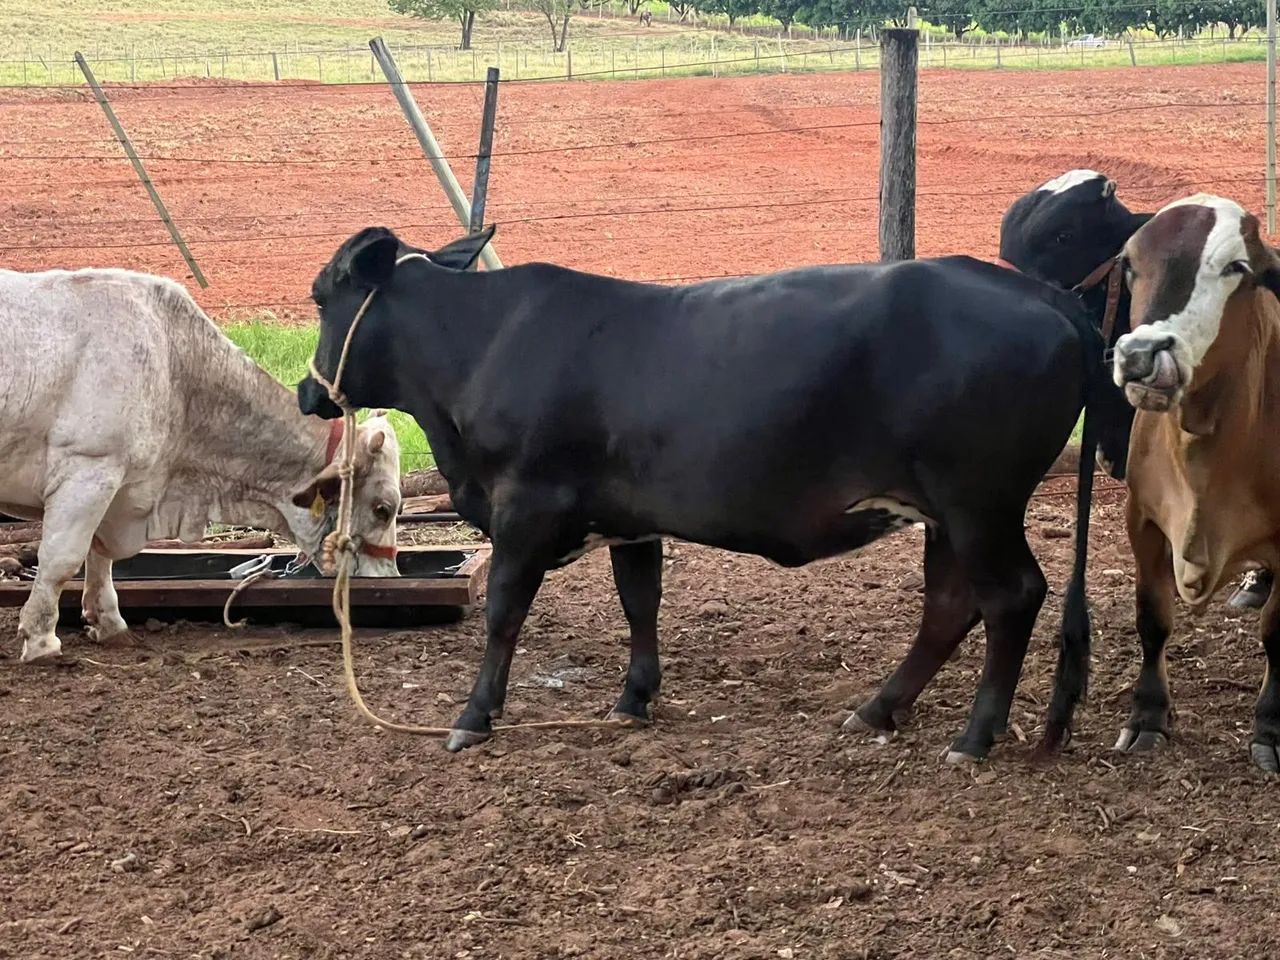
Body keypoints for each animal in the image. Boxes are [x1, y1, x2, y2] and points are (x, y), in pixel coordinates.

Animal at [0, 267, 403, 664]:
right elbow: (61, 558)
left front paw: (109, 623)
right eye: (383, 509)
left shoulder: (118, 486)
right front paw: (41, 641)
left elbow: (99, 556)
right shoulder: (89, 468)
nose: (388, 576)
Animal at [297, 225, 1116, 761]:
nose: (309, 391)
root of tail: (1038, 292)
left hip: (979, 504)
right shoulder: (630, 519)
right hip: (945, 513)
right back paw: (878, 710)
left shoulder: (524, 508)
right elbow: (640, 602)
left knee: (1011, 596)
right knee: (950, 606)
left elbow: (504, 613)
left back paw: (974, 736)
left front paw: (474, 716)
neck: (482, 346)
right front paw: (634, 699)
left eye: (320, 297)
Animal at [1077, 193, 1280, 772]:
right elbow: (1153, 620)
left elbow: (1276, 634)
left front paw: (1270, 728)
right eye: (1129, 264)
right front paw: (1147, 716)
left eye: (1236, 268)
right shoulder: (1142, 520)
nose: (1142, 355)